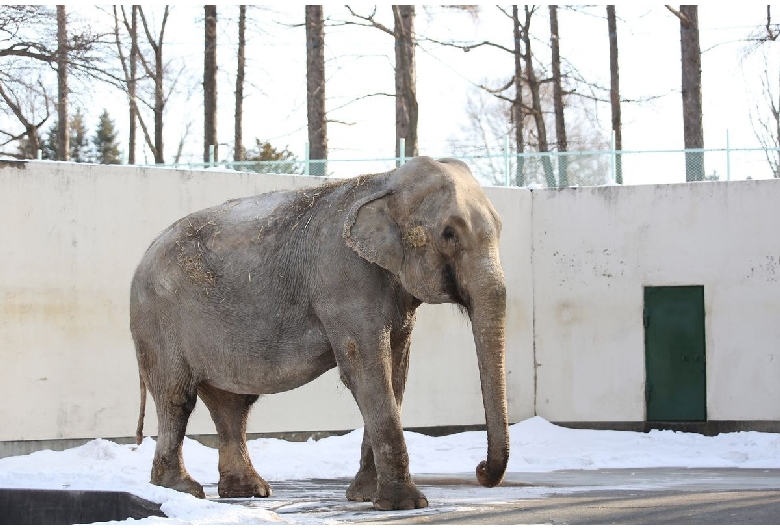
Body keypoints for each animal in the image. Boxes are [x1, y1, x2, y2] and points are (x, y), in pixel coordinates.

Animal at [131, 155, 508, 510]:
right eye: (449, 233)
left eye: (500, 228)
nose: (479, 469)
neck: (385, 181)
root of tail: (142, 257)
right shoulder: (343, 279)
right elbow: (366, 372)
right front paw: (405, 505)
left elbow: (395, 374)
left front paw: (364, 496)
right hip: (158, 320)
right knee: (177, 396)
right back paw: (182, 490)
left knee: (232, 404)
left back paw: (248, 491)